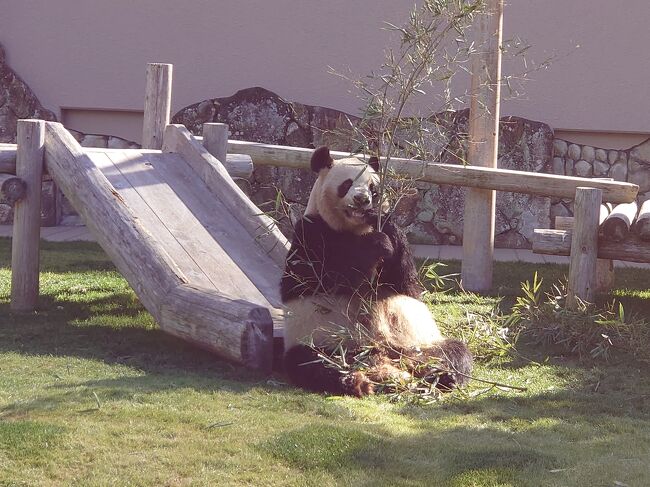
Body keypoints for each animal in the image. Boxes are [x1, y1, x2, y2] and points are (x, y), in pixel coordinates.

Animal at [280, 147, 470, 398]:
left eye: (373, 188)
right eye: (347, 184)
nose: (363, 200)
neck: (355, 229)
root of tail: (382, 359)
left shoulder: (397, 252)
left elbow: (406, 282)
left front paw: (382, 232)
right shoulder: (310, 233)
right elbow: (312, 279)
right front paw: (374, 246)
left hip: (419, 344)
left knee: (454, 352)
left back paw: (442, 376)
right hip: (326, 343)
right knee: (310, 362)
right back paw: (355, 382)